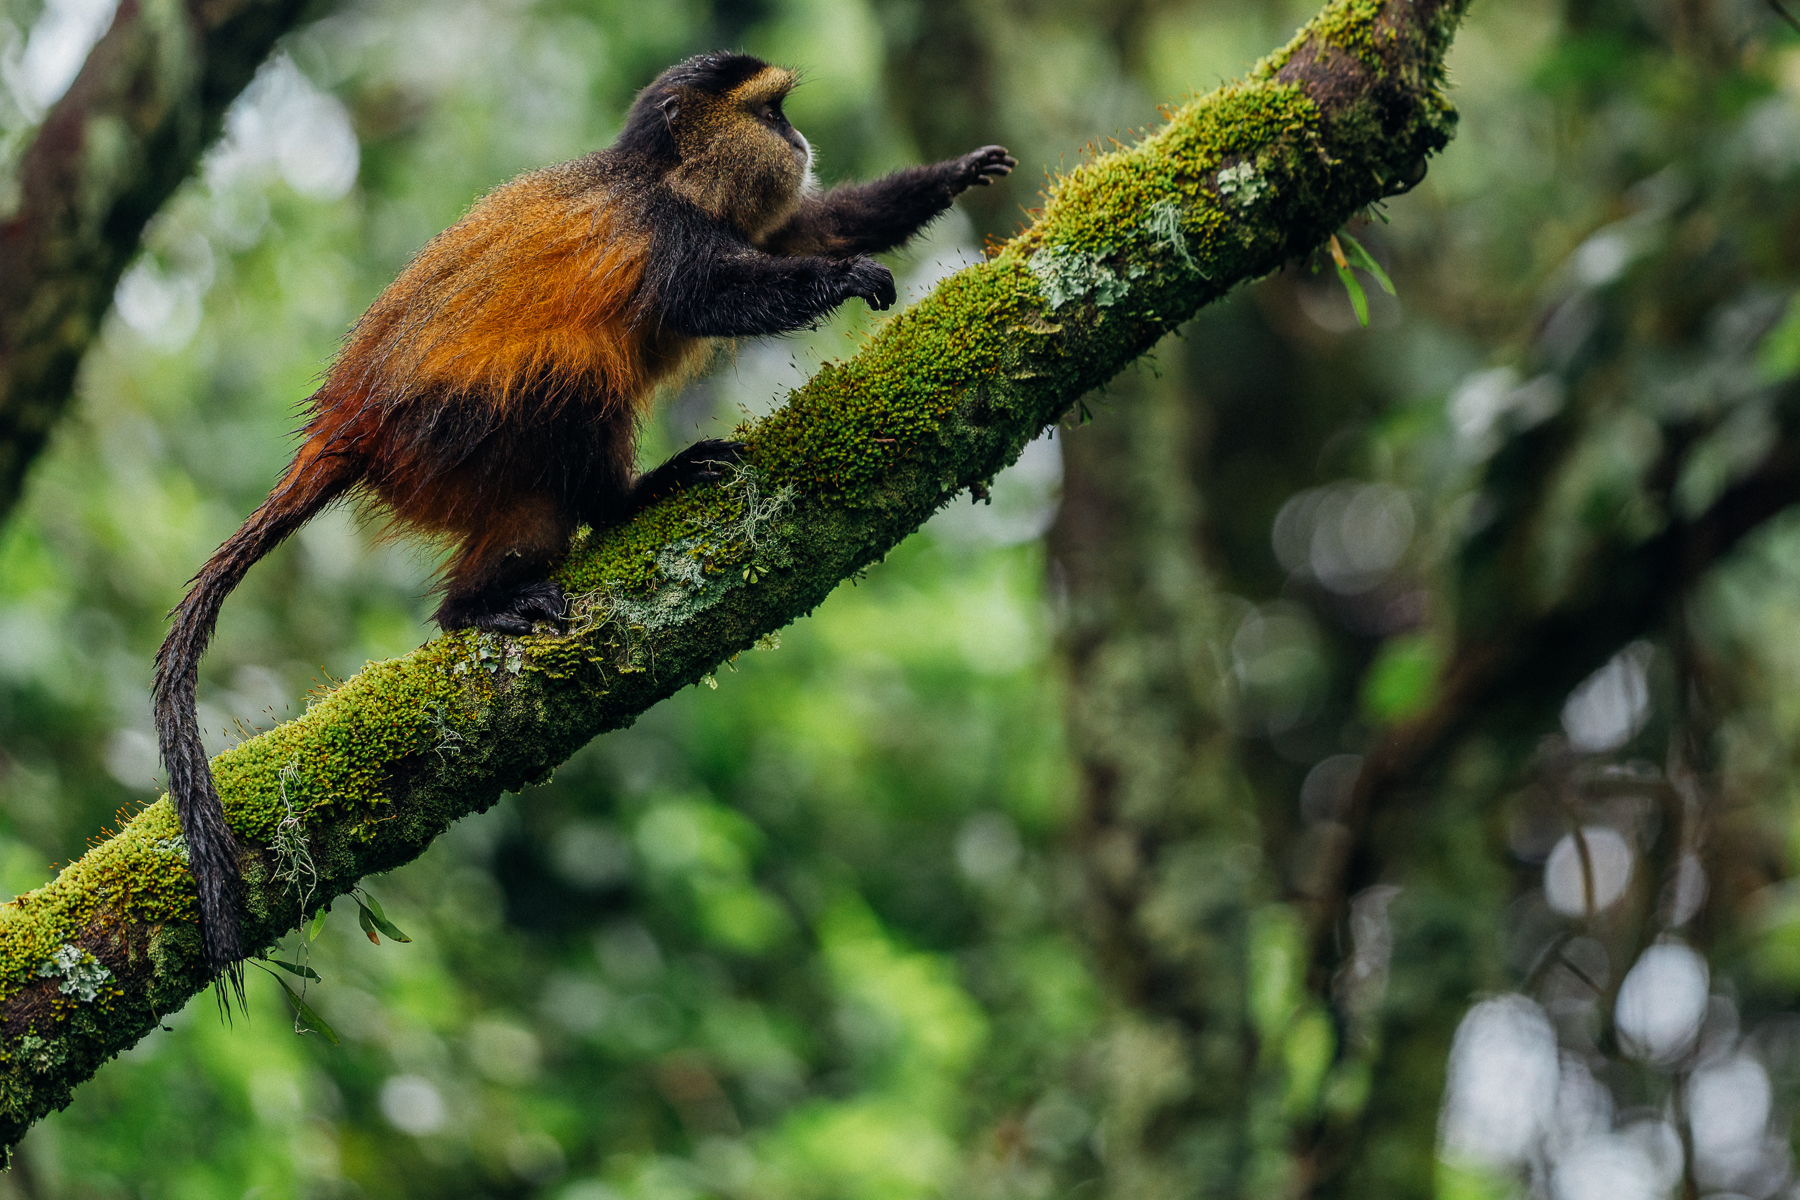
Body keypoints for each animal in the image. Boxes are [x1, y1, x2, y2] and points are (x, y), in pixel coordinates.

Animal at [151, 51, 1016, 981]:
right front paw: (848, 279)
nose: (801, 141)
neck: (663, 176)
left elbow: (810, 228)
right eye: (772, 115)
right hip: (446, 433)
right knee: (574, 376)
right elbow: (720, 298)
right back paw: (538, 562)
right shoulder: (666, 235)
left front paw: (955, 174)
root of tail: (348, 425)